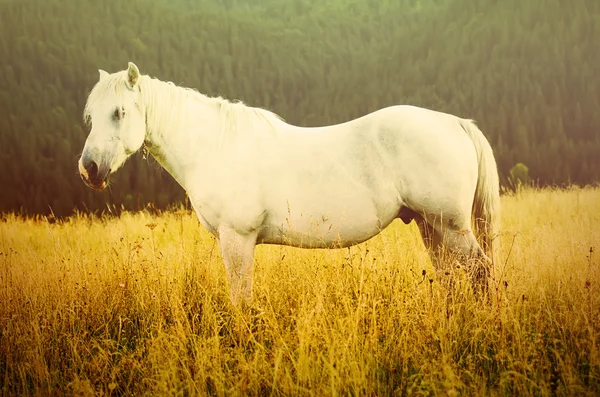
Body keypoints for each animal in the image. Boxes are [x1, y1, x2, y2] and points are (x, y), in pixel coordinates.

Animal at [79, 62, 502, 304]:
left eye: (119, 112)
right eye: (90, 115)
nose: (90, 169)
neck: (216, 145)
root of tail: (455, 122)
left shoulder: (237, 239)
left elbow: (241, 299)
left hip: (451, 227)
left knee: (482, 274)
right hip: (433, 227)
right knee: (452, 278)